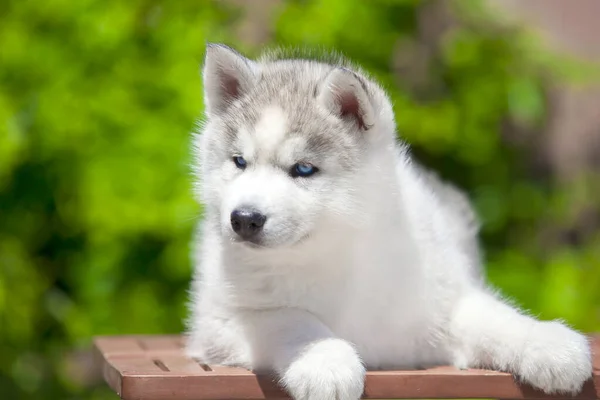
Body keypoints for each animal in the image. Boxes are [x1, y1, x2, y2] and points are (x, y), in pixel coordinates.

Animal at [186, 43, 592, 400]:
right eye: (239, 161)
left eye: (303, 169)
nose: (244, 219)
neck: (331, 252)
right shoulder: (216, 323)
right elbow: (291, 319)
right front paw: (325, 361)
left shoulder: (442, 301)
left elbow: (495, 318)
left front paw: (549, 343)